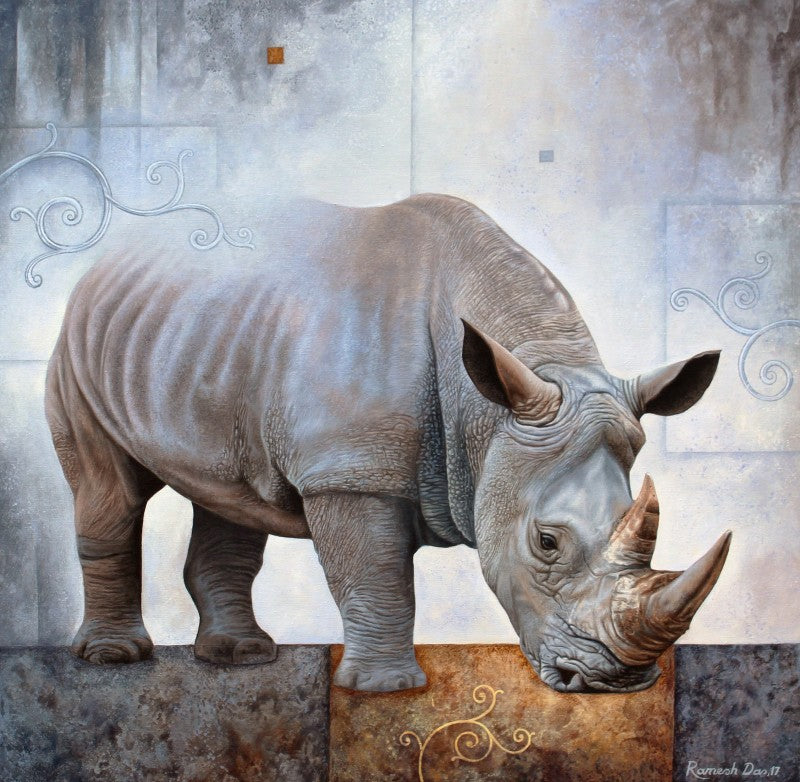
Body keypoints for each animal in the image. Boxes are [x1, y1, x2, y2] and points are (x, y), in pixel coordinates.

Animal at [46, 194, 730, 693]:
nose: (617, 682)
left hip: (196, 334)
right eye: (546, 543)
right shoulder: (349, 470)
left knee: (229, 496)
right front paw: (387, 689)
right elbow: (376, 577)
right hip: (78, 344)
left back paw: (241, 656)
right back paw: (114, 657)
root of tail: (110, 257)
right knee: (110, 492)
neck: (491, 409)